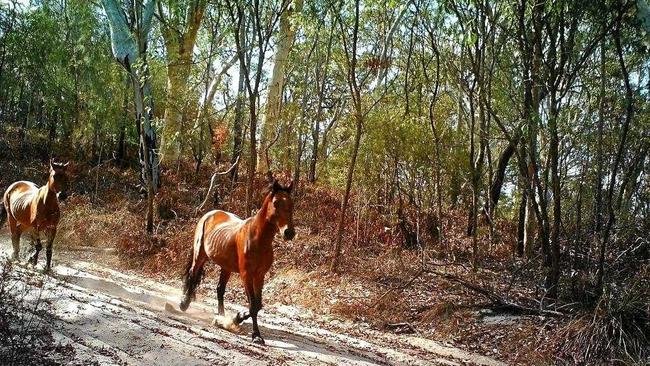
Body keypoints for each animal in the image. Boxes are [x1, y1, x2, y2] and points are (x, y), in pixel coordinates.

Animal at [180, 179, 296, 344]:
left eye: (291, 203)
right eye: (276, 202)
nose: (289, 232)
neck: (258, 239)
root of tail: (209, 214)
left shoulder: (259, 276)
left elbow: (258, 305)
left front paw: (235, 319)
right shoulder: (246, 275)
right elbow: (253, 305)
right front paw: (256, 335)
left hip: (226, 267)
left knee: (220, 289)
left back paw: (221, 317)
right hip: (200, 255)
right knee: (192, 275)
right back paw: (184, 303)